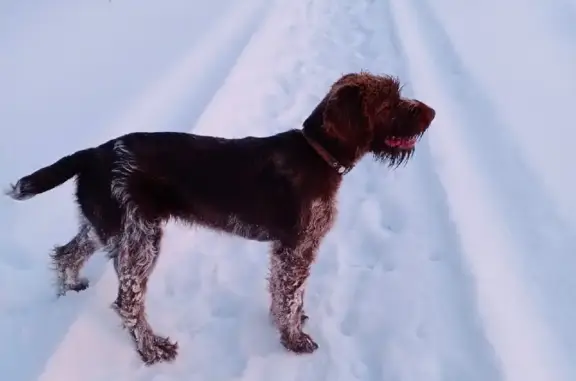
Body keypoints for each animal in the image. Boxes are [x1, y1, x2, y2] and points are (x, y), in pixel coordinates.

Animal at [6, 70, 434, 364]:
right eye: (389, 101)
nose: (431, 113)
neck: (318, 153)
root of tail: (93, 153)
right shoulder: (298, 247)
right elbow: (290, 297)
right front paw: (294, 339)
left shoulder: (286, 250)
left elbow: (282, 295)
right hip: (140, 239)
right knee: (127, 301)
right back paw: (152, 349)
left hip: (104, 226)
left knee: (66, 253)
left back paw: (68, 291)